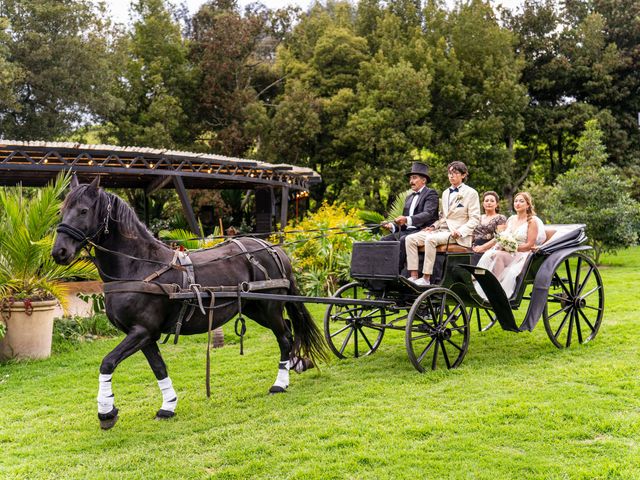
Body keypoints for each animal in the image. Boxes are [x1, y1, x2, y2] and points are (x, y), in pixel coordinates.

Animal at [52, 178, 328, 430]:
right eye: (62, 210)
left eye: (83, 210)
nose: (59, 252)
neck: (139, 267)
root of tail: (273, 248)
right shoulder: (145, 335)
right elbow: (159, 368)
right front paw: (168, 405)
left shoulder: (141, 331)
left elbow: (107, 362)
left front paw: (106, 412)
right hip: (255, 308)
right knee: (289, 330)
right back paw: (296, 364)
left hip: (270, 308)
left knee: (284, 337)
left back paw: (280, 382)